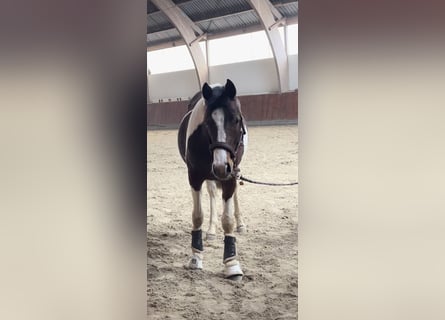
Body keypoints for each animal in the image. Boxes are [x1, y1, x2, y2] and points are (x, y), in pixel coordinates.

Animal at [176, 80, 246, 280]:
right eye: (207, 122)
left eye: (236, 119)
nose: (221, 167)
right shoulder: (194, 177)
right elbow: (197, 216)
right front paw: (196, 257)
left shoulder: (230, 176)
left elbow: (228, 219)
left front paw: (232, 264)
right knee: (213, 194)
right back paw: (211, 230)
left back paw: (241, 224)